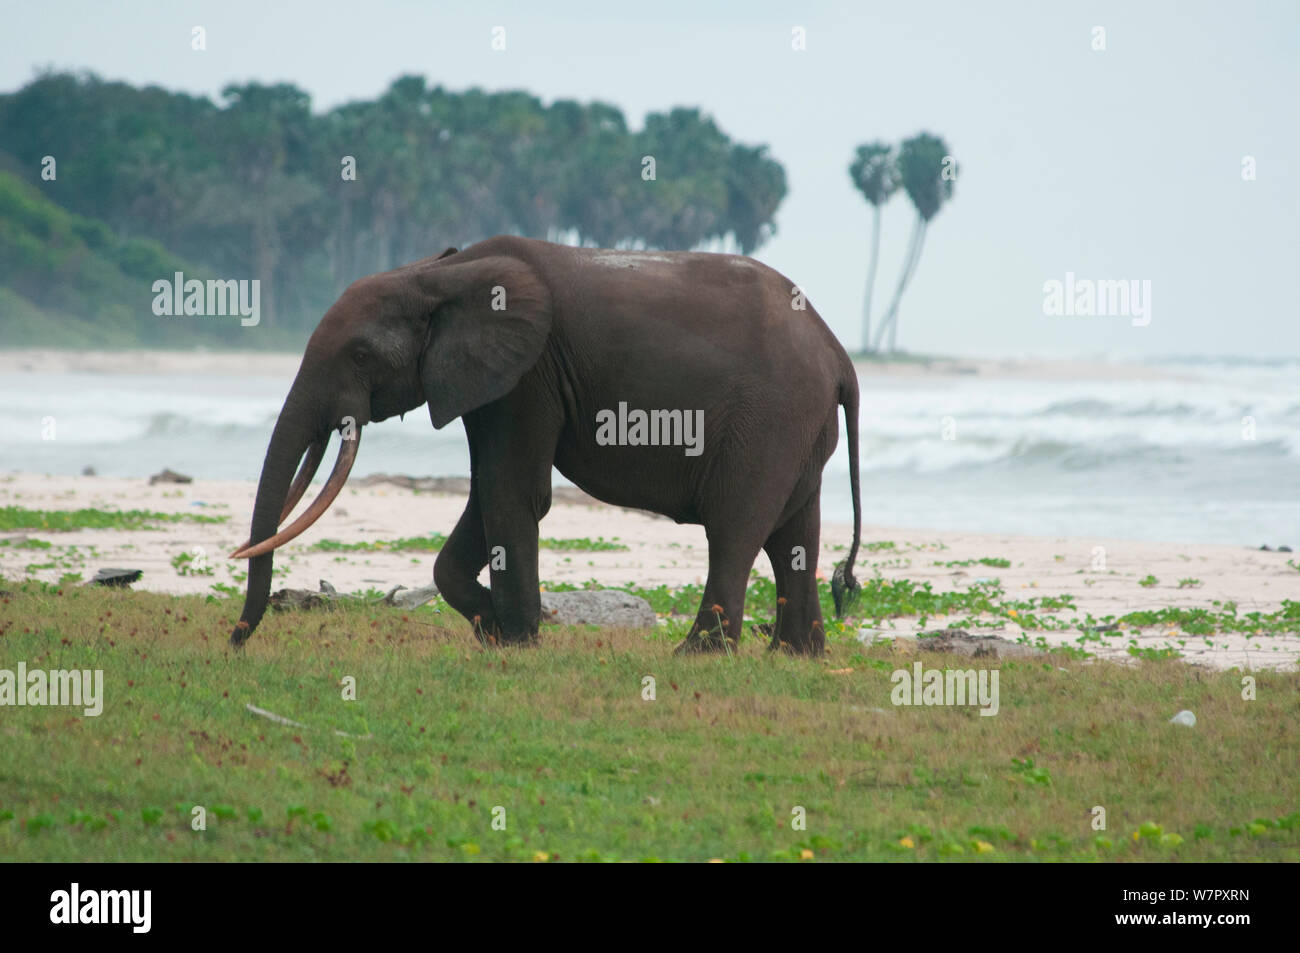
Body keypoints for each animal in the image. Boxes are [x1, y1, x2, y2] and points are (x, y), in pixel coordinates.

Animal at [231, 237, 863, 655]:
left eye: (360, 356)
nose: (237, 642)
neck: (442, 272)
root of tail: (839, 354)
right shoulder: (492, 381)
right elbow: (485, 495)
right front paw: (493, 630)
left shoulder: (527, 376)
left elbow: (513, 493)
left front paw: (517, 641)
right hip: (799, 427)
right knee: (793, 536)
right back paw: (794, 656)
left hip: (770, 419)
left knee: (734, 528)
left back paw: (698, 655)